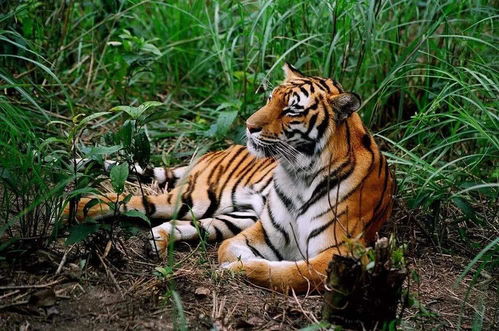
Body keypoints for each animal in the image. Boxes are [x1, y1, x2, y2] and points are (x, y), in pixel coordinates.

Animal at [68, 64, 396, 294]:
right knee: (131, 200)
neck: (299, 175)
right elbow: (232, 251)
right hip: (199, 196)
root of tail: (216, 152)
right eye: (270, 98)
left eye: (291, 110)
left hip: (235, 212)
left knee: (190, 223)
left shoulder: (341, 252)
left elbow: (290, 273)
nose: (249, 126)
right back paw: (73, 208)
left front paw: (240, 270)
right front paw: (236, 265)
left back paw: (155, 240)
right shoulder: (264, 232)